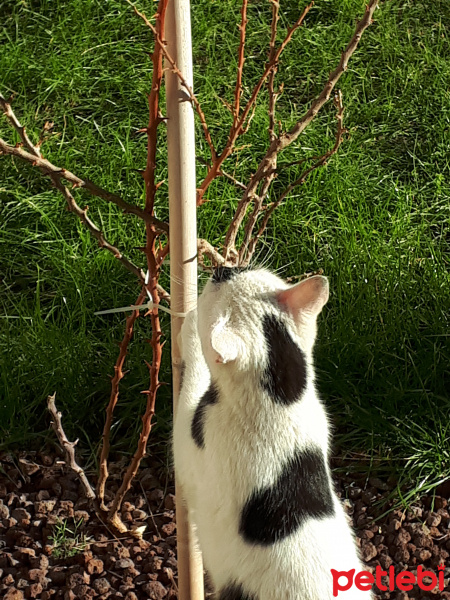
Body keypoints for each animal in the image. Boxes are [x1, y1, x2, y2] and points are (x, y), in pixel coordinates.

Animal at [173, 268, 372, 600]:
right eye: (242, 271)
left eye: (215, 291)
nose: (222, 270)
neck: (279, 399)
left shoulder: (190, 445)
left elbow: (193, 382)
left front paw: (188, 323)